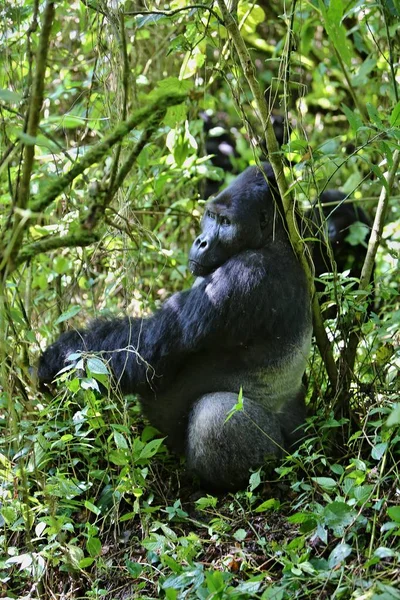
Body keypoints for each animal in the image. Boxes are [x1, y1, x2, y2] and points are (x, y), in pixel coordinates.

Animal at [38, 162, 312, 490]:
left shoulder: (245, 275)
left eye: (226, 222)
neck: (276, 239)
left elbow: (146, 354)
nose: (201, 241)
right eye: (211, 216)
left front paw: (56, 357)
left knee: (216, 416)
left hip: (282, 458)